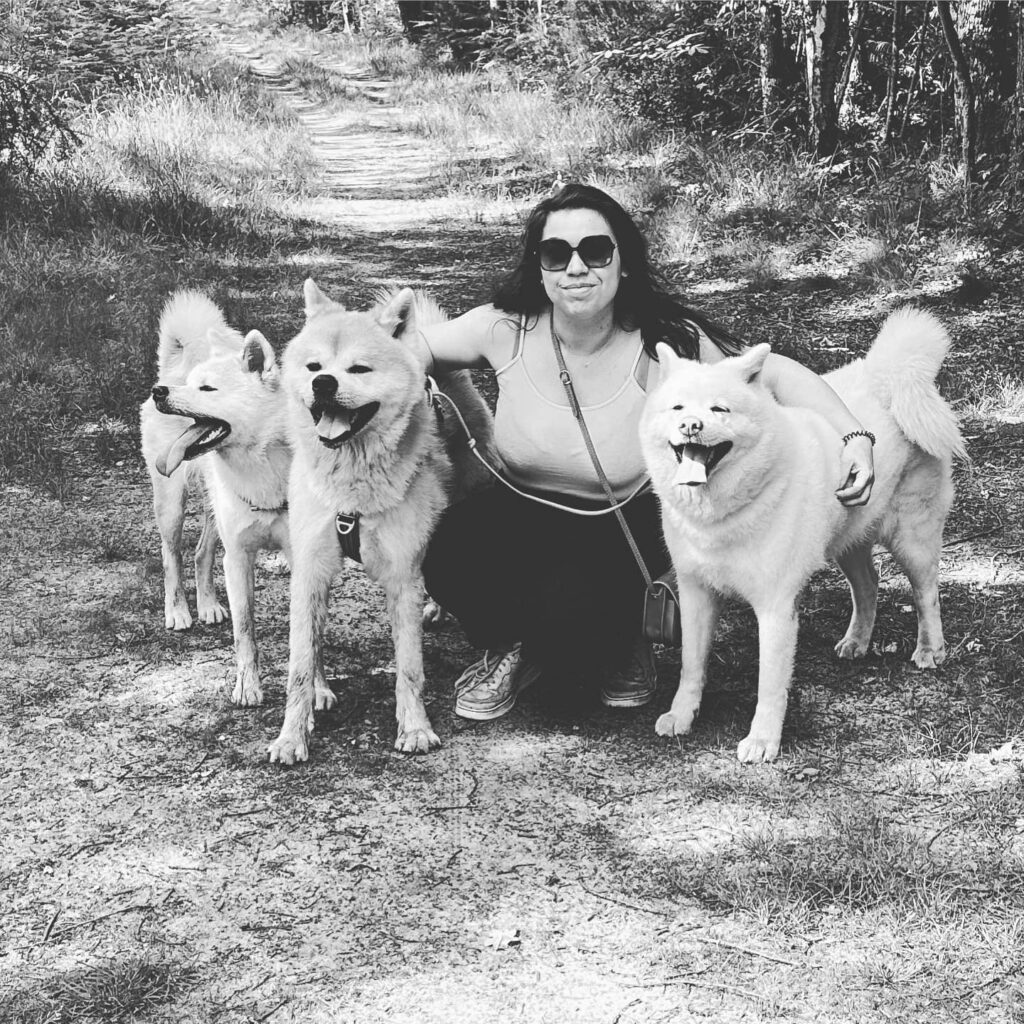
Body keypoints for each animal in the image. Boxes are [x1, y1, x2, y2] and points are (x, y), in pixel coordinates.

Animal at [266, 278, 493, 761]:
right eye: (314, 366)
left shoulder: (403, 577)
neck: (351, 485)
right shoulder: (309, 571)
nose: (323, 382)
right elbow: (300, 664)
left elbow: (409, 668)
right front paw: (292, 735)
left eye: (359, 369)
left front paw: (415, 728)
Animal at [638, 307, 966, 765]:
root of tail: (886, 374)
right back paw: (856, 642)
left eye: (720, 409)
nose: (690, 425)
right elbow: (691, 665)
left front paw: (762, 741)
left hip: (911, 538)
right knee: (869, 585)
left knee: (926, 594)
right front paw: (682, 715)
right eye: (678, 406)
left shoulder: (775, 607)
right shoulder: (695, 592)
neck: (725, 511)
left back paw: (930, 649)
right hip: (847, 538)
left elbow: (770, 683)